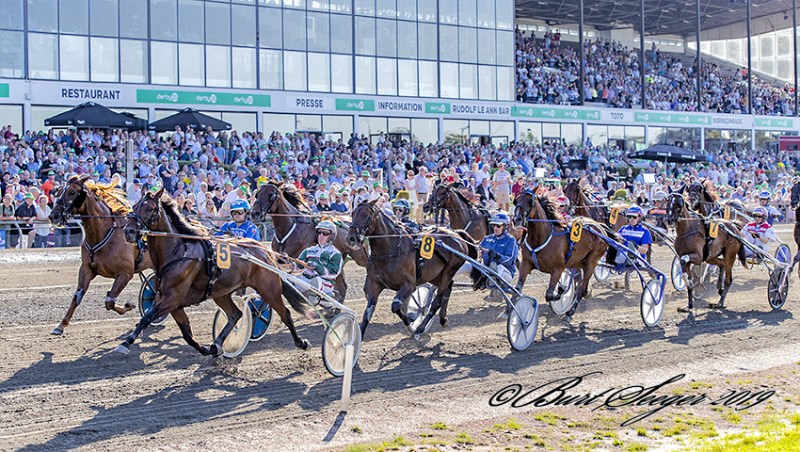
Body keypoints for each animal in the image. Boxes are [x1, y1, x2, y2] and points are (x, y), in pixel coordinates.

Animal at [47, 173, 153, 336]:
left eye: (72, 192)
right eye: (58, 191)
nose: (54, 215)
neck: (103, 233)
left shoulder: (125, 273)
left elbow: (109, 301)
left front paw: (128, 306)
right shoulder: (86, 269)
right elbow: (77, 297)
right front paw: (61, 325)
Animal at [119, 189, 310, 354]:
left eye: (150, 209)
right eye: (134, 206)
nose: (128, 231)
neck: (178, 251)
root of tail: (264, 251)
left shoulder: (172, 298)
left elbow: (147, 317)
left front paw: (126, 343)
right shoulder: (172, 303)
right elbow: (187, 334)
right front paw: (206, 349)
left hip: (268, 288)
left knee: (284, 313)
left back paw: (301, 342)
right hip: (221, 292)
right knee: (235, 314)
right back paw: (217, 344)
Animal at [344, 200, 482, 338]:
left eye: (366, 215)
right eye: (353, 213)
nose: (350, 237)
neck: (391, 250)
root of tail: (457, 234)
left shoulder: (409, 285)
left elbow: (395, 306)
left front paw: (411, 320)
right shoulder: (374, 285)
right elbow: (368, 312)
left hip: (449, 271)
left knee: (437, 301)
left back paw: (420, 328)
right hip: (435, 275)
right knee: (449, 287)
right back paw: (443, 320)